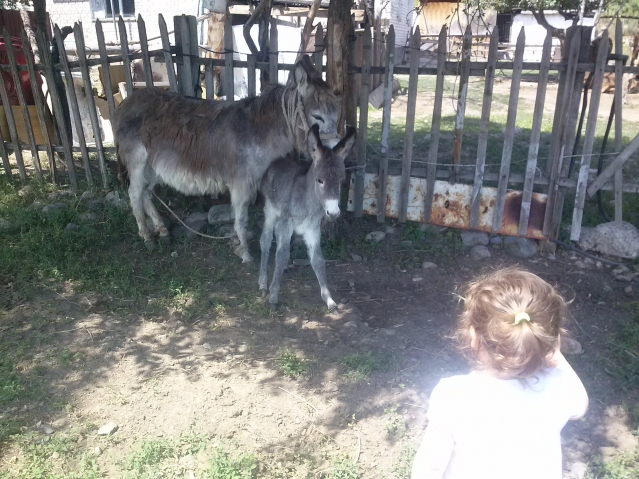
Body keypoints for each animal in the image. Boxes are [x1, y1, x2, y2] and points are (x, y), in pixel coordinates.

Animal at [260, 124, 360, 312]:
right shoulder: (287, 222)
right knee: (266, 240)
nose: (333, 213)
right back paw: (263, 284)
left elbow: (318, 260)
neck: (308, 202)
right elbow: (281, 255)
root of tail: (278, 161)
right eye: (320, 180)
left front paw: (329, 299)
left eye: (341, 181)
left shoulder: (312, 228)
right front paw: (274, 296)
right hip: (270, 211)